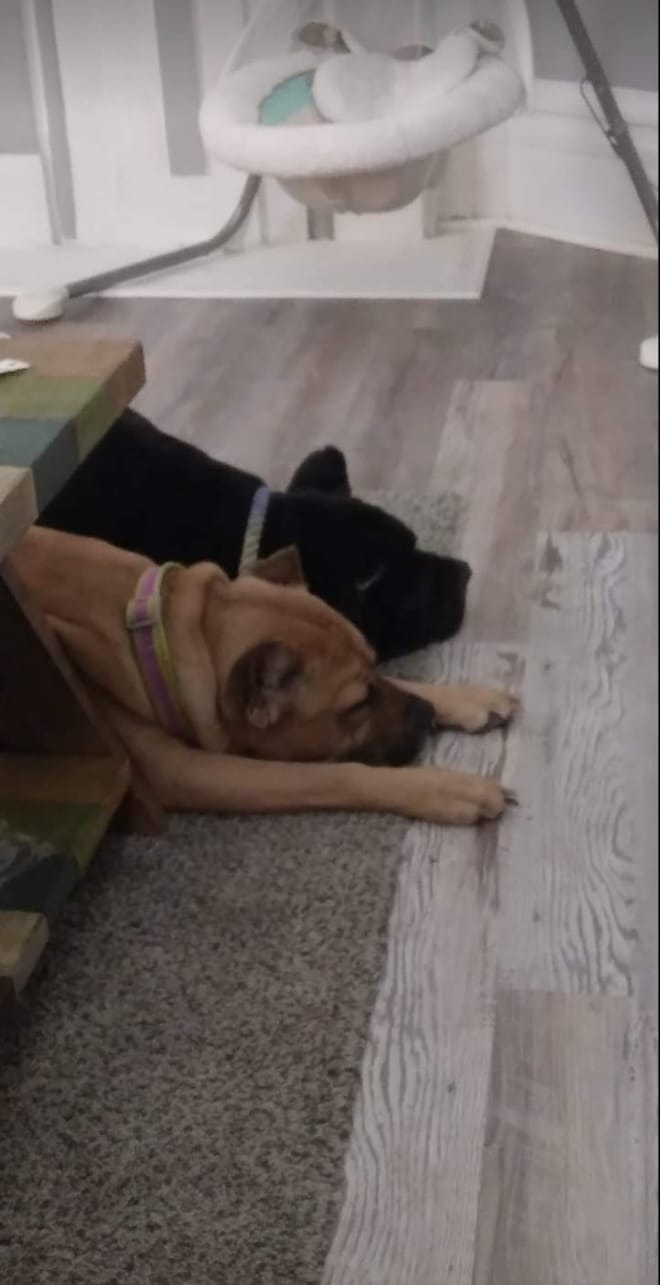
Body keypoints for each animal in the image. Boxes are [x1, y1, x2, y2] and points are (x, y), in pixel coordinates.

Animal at [9, 528, 517, 825]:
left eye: (376, 666)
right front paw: (444, 788)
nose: (427, 716)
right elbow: (337, 777)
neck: (166, 635)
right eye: (356, 706)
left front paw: (464, 699)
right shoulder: (189, 771)